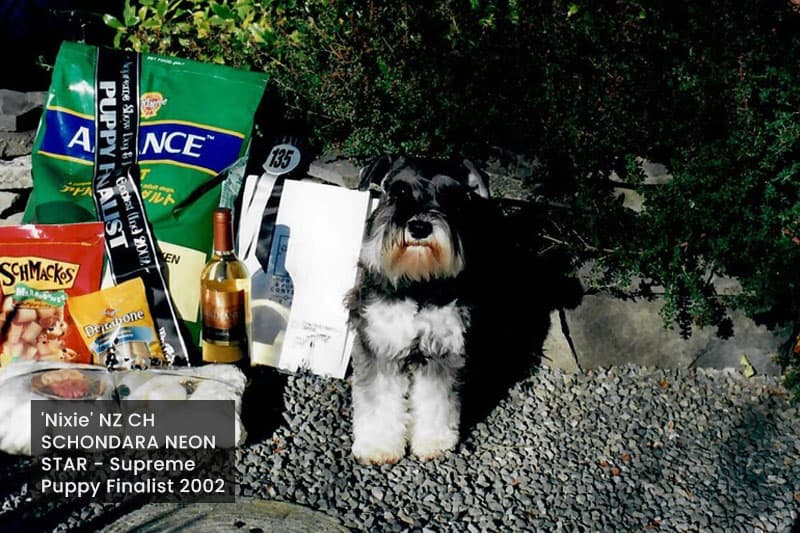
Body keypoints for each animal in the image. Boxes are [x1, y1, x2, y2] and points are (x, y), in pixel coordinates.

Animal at [345, 155, 490, 464]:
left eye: (450, 197)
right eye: (399, 192)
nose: (420, 228)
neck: (418, 284)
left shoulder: (444, 349)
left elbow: (437, 400)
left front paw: (434, 442)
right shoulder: (380, 345)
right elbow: (379, 398)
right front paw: (378, 445)